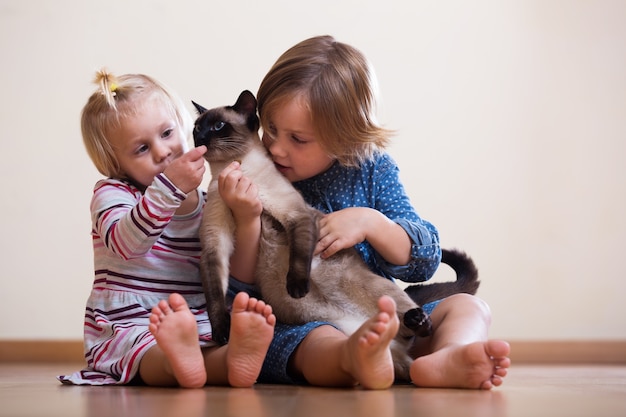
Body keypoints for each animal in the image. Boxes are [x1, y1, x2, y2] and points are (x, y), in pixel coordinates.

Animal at [191, 90, 478, 380]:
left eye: (218, 126)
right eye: (197, 127)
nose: (199, 137)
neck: (238, 171)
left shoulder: (298, 217)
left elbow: (299, 258)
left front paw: (297, 287)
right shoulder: (215, 247)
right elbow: (215, 296)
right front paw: (221, 333)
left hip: (376, 288)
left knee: (418, 325)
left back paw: (421, 328)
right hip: (338, 332)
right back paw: (371, 354)